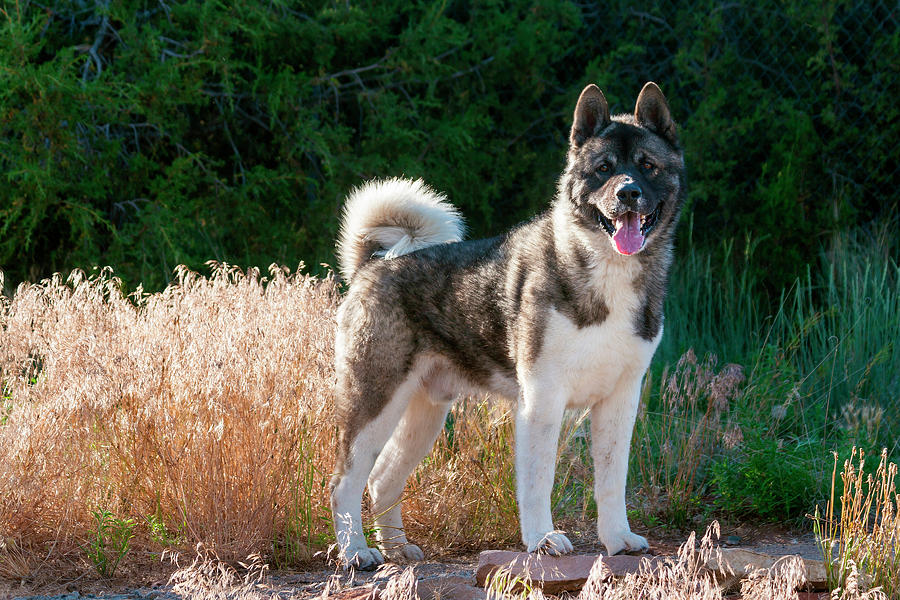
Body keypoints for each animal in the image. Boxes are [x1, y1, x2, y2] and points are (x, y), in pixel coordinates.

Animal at [328, 83, 684, 568]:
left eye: (647, 166)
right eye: (603, 169)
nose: (628, 193)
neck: (606, 269)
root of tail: (373, 266)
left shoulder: (619, 401)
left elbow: (612, 480)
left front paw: (617, 538)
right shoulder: (541, 401)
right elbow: (538, 481)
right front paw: (542, 540)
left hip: (425, 414)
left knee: (383, 478)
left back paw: (398, 548)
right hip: (375, 400)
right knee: (344, 482)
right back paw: (356, 552)